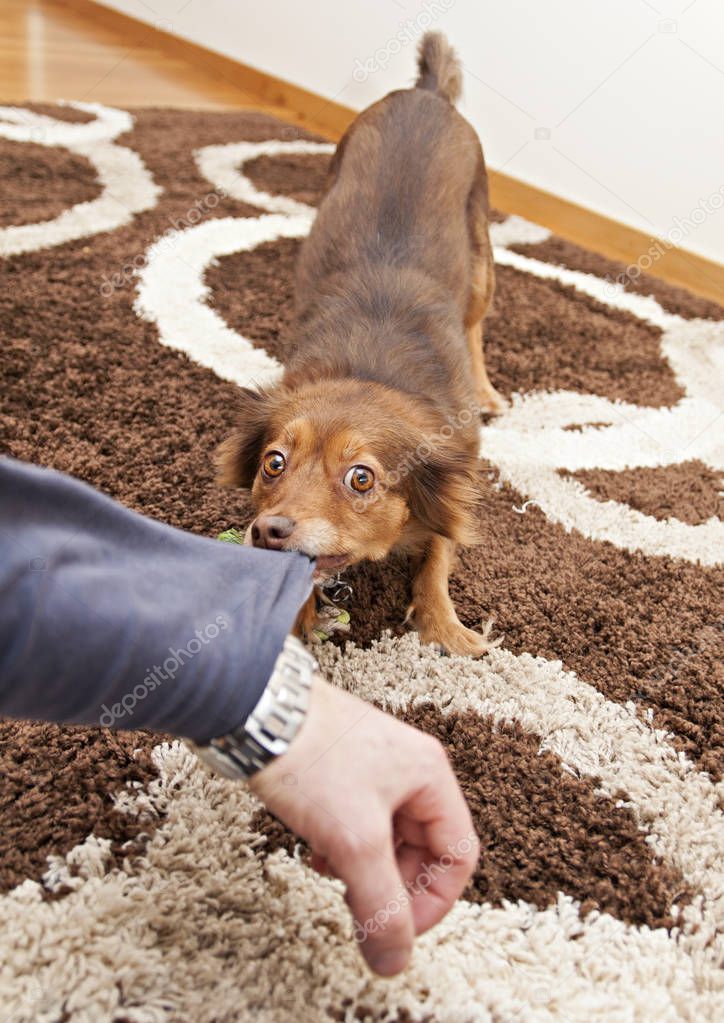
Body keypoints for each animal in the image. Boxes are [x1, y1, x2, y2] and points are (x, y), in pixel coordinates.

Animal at [217, 34, 503, 654]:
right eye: (274, 462)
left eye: (361, 478)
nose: (268, 529)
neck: (373, 374)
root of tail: (425, 93)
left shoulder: (456, 474)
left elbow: (438, 551)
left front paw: (444, 625)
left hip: (481, 262)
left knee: (475, 324)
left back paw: (488, 387)